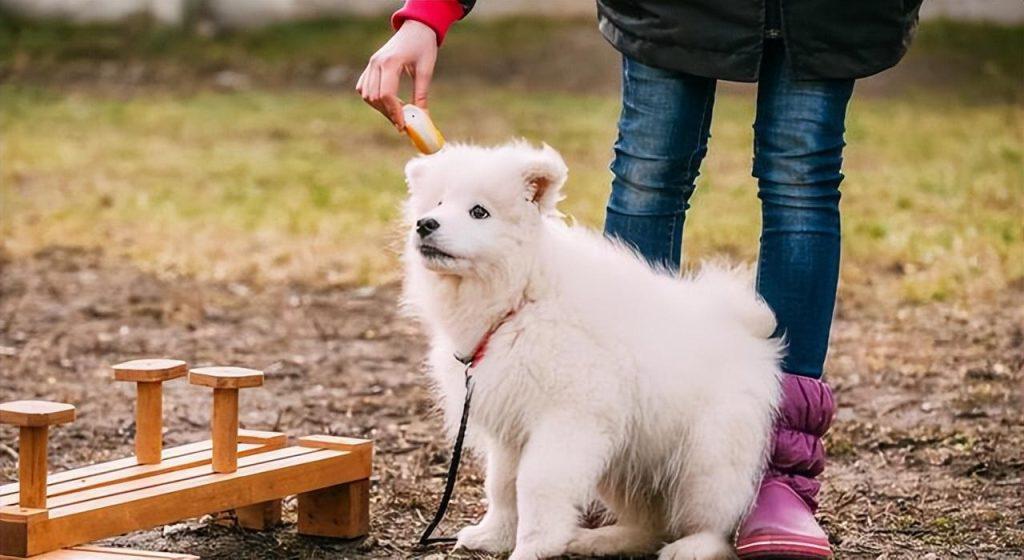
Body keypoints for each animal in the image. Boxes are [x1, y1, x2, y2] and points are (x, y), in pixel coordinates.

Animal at [401, 141, 782, 560]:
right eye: (437, 203)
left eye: (479, 212)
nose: (425, 224)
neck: (522, 298)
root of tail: (746, 330)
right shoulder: (510, 425)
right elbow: (501, 484)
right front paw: (494, 535)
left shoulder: (568, 418)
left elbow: (536, 484)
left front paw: (532, 547)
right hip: (624, 459)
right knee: (650, 524)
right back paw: (601, 539)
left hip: (707, 458)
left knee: (714, 520)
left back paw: (691, 547)